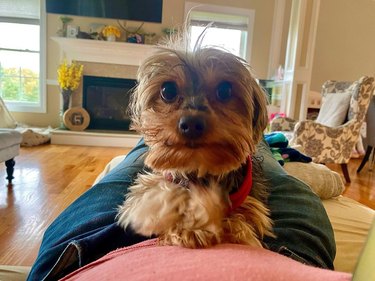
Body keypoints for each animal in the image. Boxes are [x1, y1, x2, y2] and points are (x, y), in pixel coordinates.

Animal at [119, 37, 274, 247]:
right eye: (168, 90)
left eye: (224, 90)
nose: (191, 123)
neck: (199, 168)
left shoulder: (251, 206)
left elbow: (241, 223)